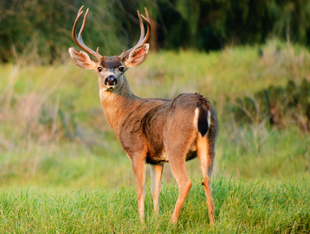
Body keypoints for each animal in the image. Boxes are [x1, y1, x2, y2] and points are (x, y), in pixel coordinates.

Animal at [68, 5, 218, 225]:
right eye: (99, 68)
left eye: (122, 68)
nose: (110, 79)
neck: (123, 114)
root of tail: (202, 104)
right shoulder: (156, 159)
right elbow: (156, 190)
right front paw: (155, 218)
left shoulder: (137, 150)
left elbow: (140, 190)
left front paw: (142, 221)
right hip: (210, 142)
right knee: (207, 179)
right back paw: (212, 222)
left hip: (175, 144)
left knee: (186, 182)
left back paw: (172, 222)